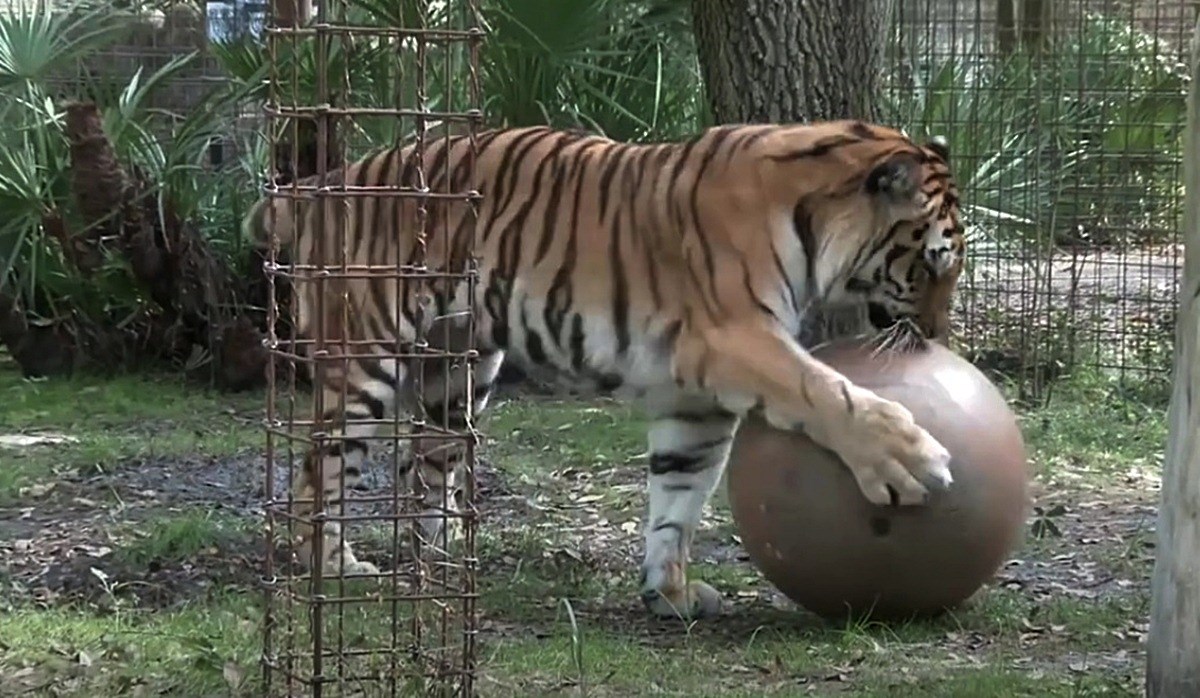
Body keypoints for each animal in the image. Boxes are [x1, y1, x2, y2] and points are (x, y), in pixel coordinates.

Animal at [243, 118, 964, 618]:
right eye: (934, 264)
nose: (936, 334)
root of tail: (316, 183)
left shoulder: (693, 397)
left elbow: (679, 496)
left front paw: (668, 592)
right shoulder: (734, 339)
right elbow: (827, 392)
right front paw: (910, 460)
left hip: (458, 375)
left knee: (420, 469)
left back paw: (444, 556)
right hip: (364, 363)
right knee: (315, 477)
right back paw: (337, 566)